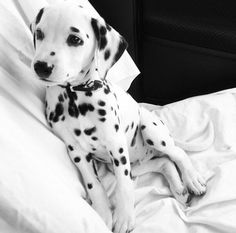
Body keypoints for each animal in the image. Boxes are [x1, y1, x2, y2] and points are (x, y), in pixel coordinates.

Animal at [30, 2, 206, 233]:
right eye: (39, 33)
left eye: (75, 39)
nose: (41, 66)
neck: (75, 98)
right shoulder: (76, 151)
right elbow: (94, 185)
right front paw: (103, 215)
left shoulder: (116, 145)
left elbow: (124, 187)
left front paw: (124, 218)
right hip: (134, 164)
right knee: (164, 162)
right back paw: (179, 188)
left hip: (151, 131)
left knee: (177, 153)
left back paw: (192, 180)